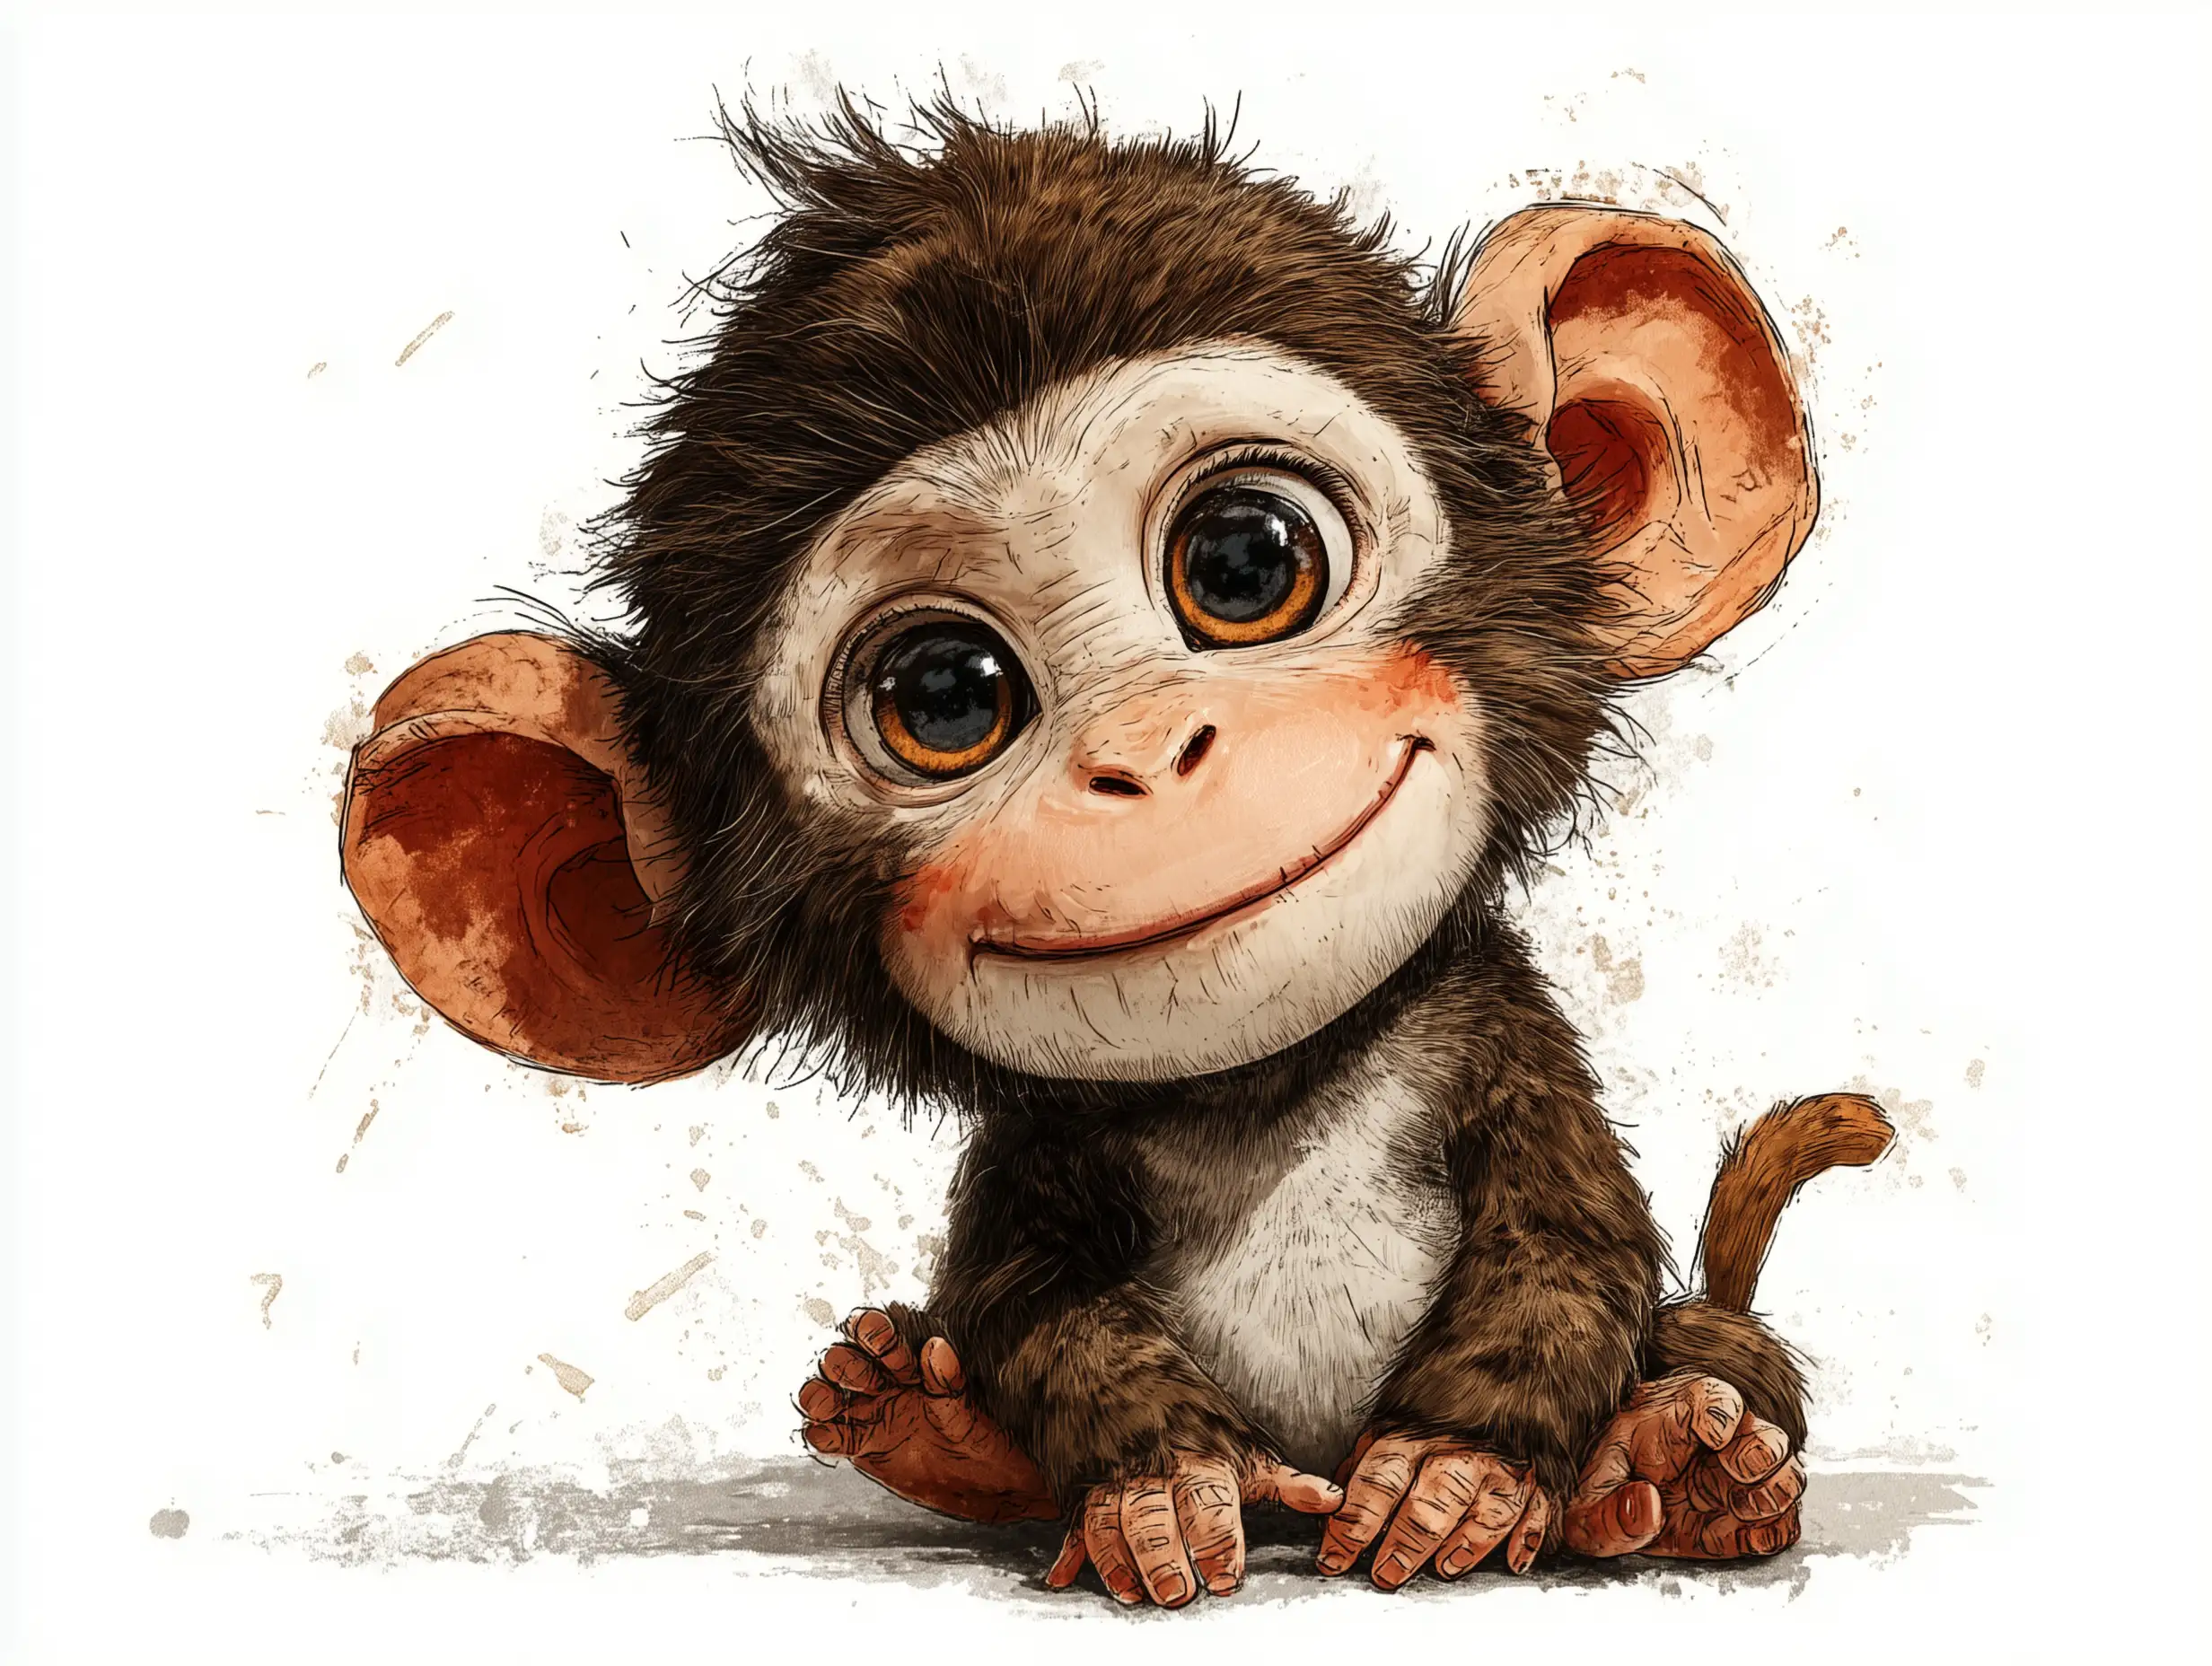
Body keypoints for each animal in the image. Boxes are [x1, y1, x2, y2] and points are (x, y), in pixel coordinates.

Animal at [338, 99, 1891, 1605]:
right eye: (946, 696)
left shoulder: (1498, 1037)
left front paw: (1458, 1474)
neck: (1268, 1088)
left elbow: (1563, 1241)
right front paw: (1161, 1487)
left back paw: (1688, 1460)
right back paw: (929, 1428)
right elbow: (1036, 1302)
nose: (1147, 755)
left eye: (1246, 562)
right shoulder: (1040, 1146)